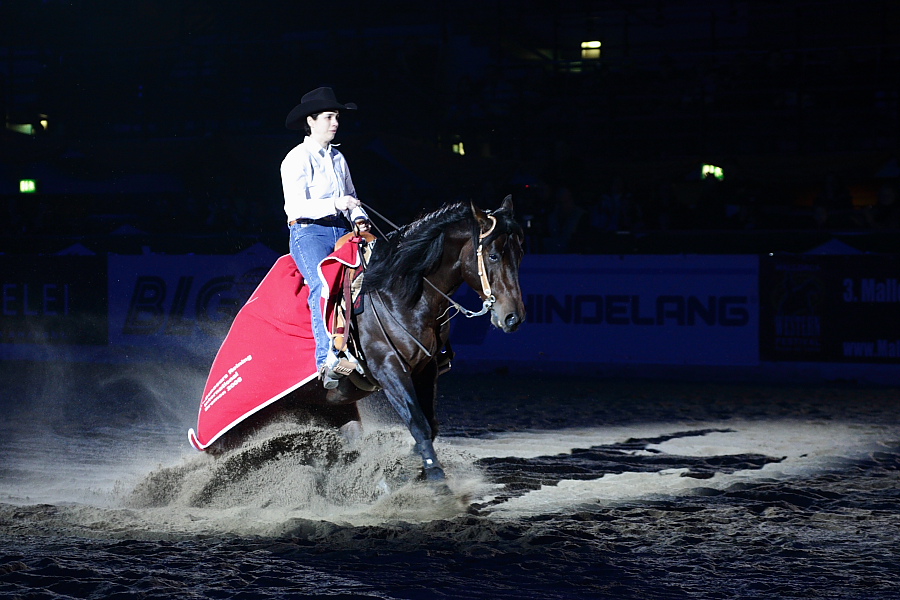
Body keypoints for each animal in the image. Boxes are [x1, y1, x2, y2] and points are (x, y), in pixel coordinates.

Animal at [207, 198, 524, 482]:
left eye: (519, 254)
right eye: (493, 256)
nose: (513, 317)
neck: (397, 290)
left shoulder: (426, 367)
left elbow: (429, 424)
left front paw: (415, 467)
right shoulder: (389, 368)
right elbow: (418, 423)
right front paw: (434, 478)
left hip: (331, 408)